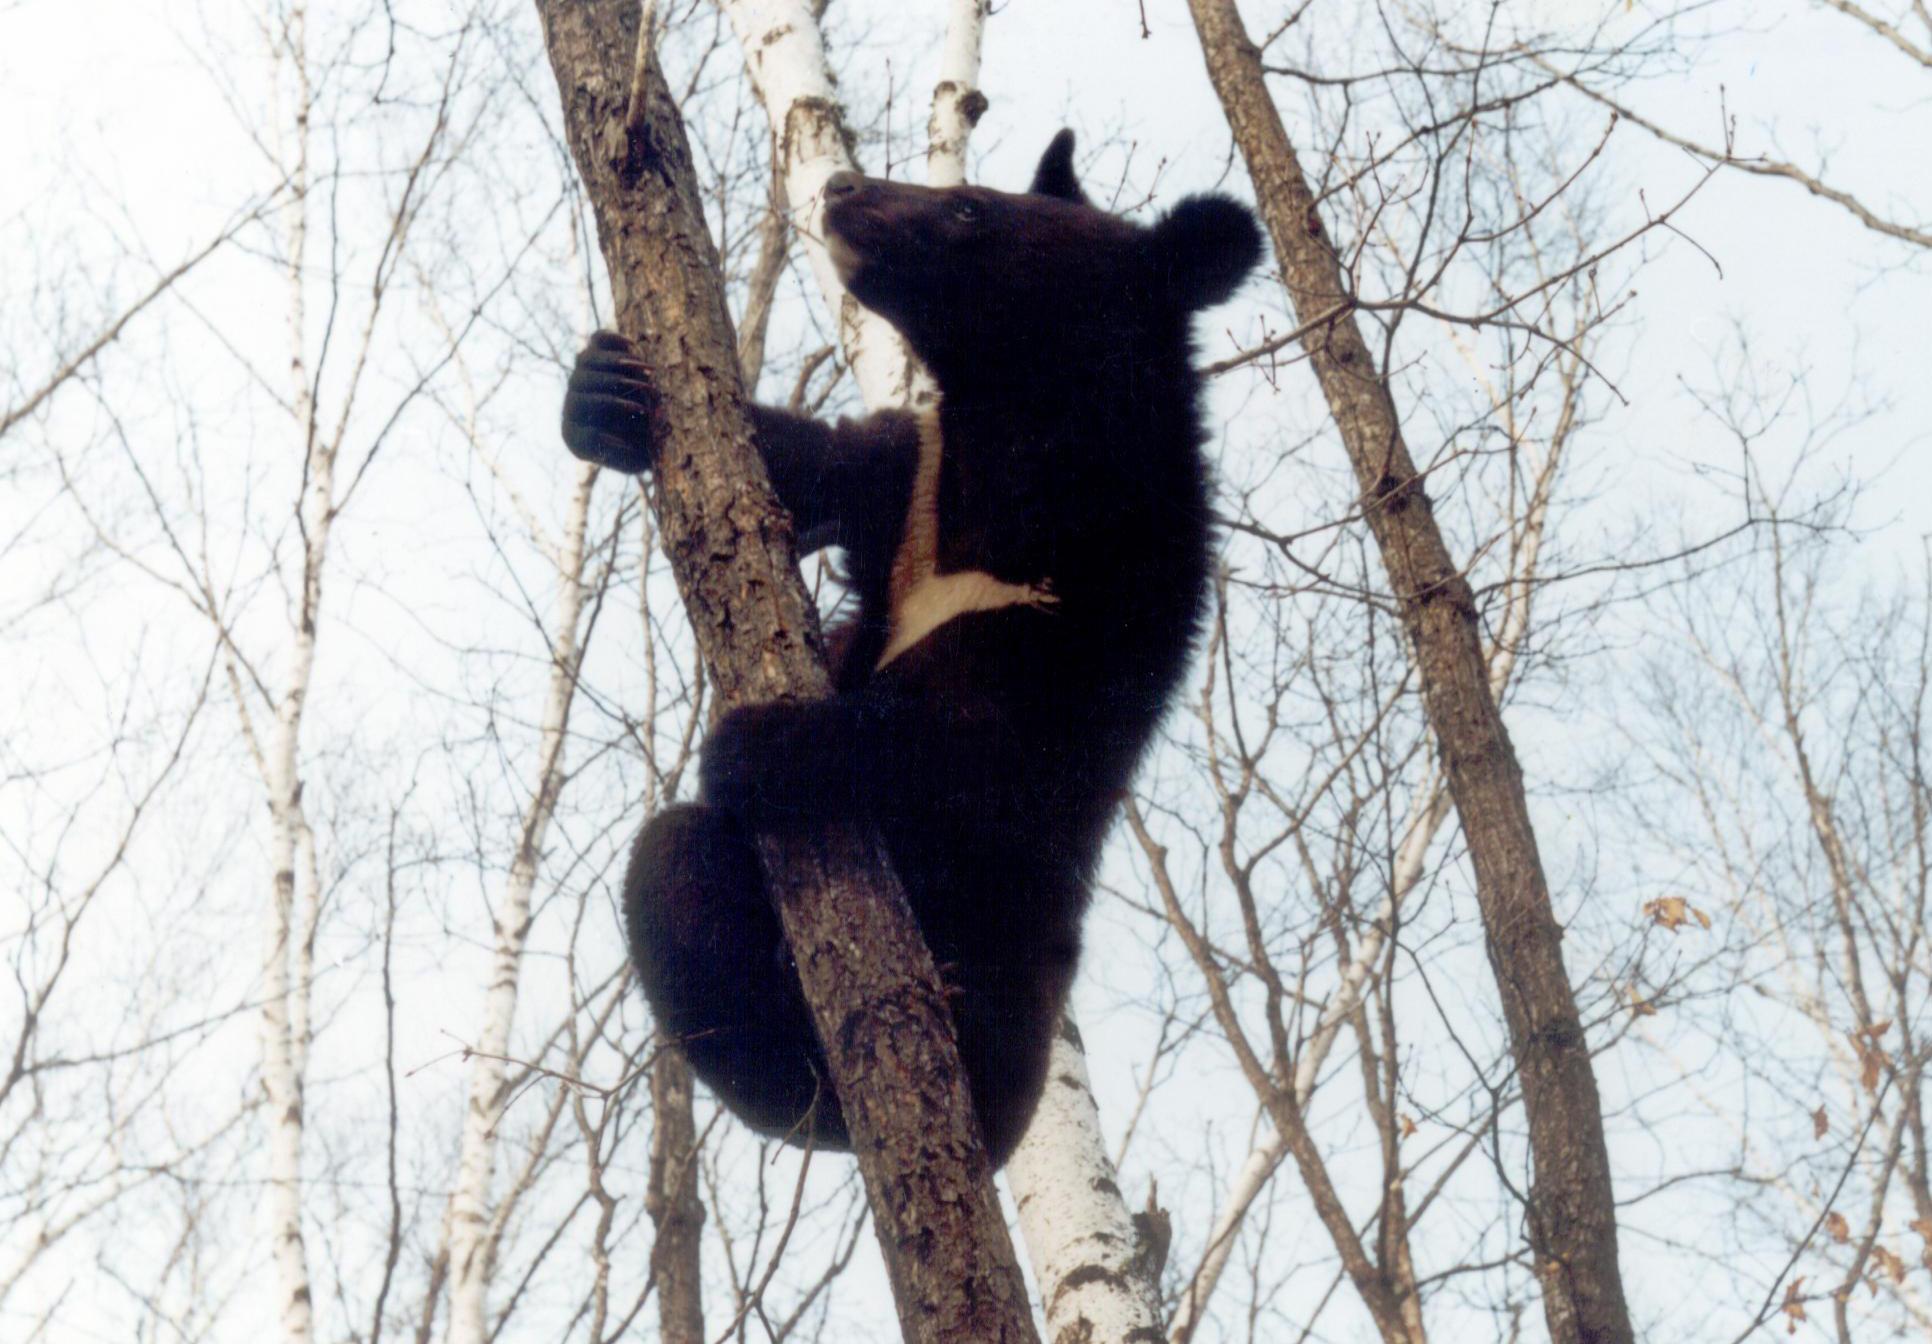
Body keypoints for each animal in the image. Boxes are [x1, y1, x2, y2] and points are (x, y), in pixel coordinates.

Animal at [561, 130, 1261, 1166]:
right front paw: (607, 391)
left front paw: (763, 743)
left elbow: (972, 749)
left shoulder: (1100, 607)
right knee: (671, 863)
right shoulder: (914, 475)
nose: (841, 188)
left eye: (972, 209)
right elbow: (808, 464)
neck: (1022, 449)